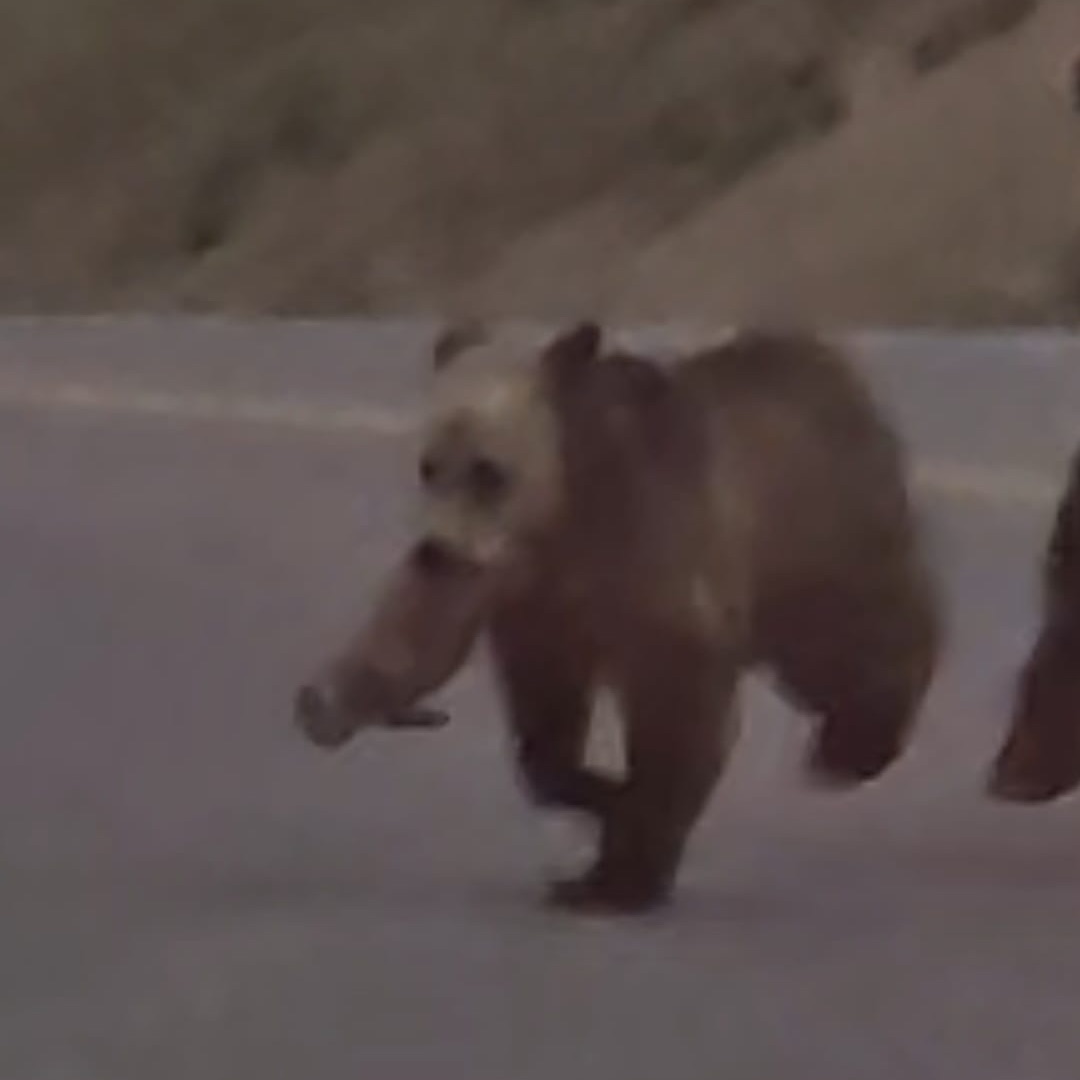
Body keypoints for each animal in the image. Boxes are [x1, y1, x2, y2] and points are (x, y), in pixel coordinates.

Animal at [293, 319, 937, 911]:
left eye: (488, 470)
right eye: (429, 466)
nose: (436, 549)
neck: (561, 522)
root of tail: (834, 365)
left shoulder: (654, 558)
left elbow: (676, 711)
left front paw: (626, 870)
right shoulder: (530, 607)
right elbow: (535, 720)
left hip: (818, 545)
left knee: (850, 650)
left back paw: (853, 745)